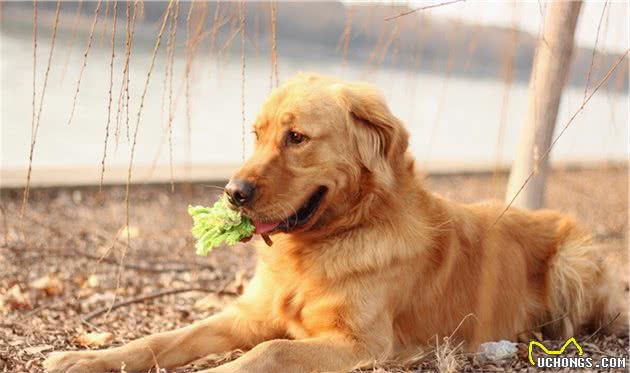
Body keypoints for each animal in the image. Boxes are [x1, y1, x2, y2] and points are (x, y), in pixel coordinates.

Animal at [44, 73, 628, 372]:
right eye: (256, 134)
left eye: (296, 137)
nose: (232, 194)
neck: (320, 247)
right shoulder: (247, 314)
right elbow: (165, 338)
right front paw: (83, 359)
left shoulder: (361, 344)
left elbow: (268, 351)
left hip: (574, 262)